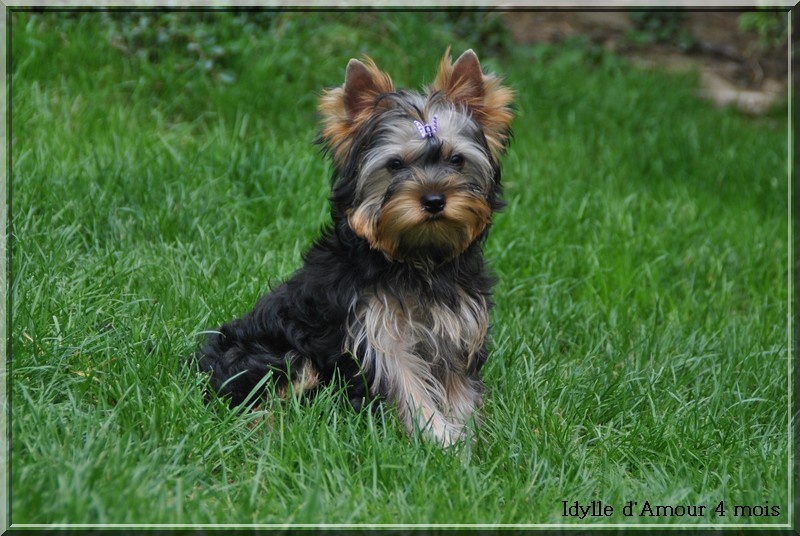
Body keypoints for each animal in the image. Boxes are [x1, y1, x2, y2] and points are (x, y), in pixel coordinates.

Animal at [197, 48, 516, 446]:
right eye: (395, 165)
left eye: (456, 160)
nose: (433, 200)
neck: (418, 258)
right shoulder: (376, 332)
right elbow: (406, 385)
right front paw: (440, 440)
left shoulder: (458, 331)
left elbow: (459, 390)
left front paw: (467, 440)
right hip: (277, 355)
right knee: (256, 402)